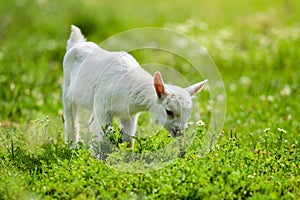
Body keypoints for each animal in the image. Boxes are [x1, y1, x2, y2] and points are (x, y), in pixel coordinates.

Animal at [63, 25, 207, 148]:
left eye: (188, 113)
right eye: (169, 111)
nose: (179, 131)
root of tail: (77, 43)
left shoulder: (129, 115)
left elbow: (128, 140)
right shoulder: (102, 106)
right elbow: (106, 137)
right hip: (67, 89)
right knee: (71, 119)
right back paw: (72, 147)